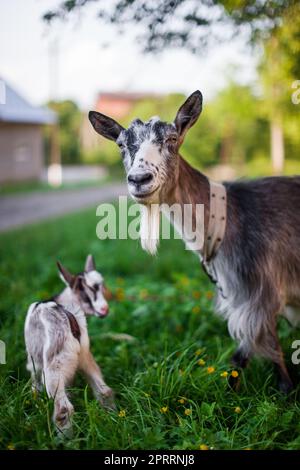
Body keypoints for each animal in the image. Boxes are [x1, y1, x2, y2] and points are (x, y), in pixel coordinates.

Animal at [24, 255, 115, 432]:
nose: (104, 310)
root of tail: (68, 316)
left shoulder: (34, 362)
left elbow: (35, 385)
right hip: (83, 355)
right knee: (104, 390)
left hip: (54, 365)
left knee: (63, 410)